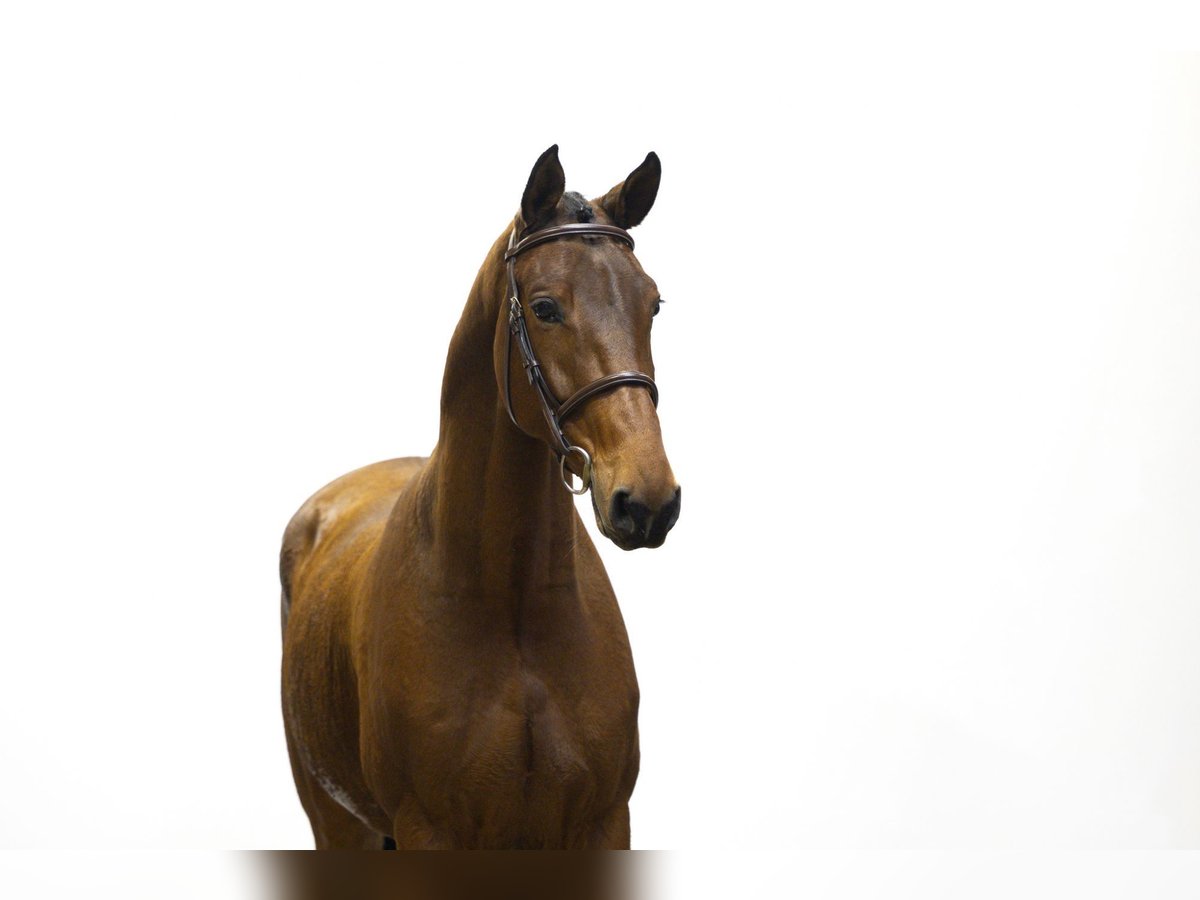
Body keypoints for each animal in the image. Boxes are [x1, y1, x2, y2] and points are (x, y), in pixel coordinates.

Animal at [280, 145, 680, 849]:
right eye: (545, 308)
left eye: (653, 304)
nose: (647, 500)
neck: (511, 607)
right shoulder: (430, 830)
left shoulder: (604, 822)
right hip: (334, 819)